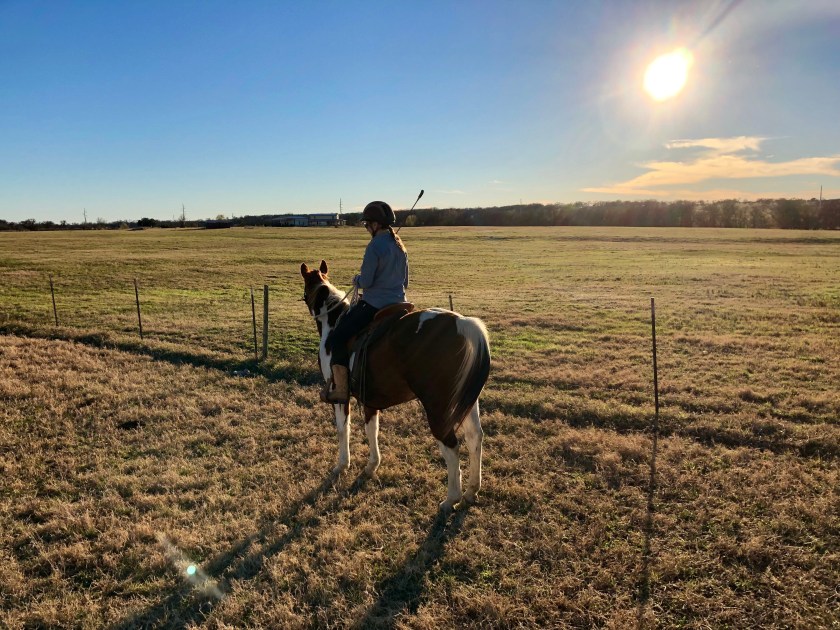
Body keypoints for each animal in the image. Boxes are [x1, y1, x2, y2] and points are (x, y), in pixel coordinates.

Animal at [300, 260, 491, 510]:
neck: (334, 323)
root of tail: (462, 323)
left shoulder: (339, 396)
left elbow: (343, 429)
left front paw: (342, 464)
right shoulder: (369, 398)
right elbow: (372, 430)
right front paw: (371, 465)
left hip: (438, 407)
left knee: (451, 446)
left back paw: (451, 499)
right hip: (466, 402)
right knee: (474, 437)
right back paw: (471, 491)